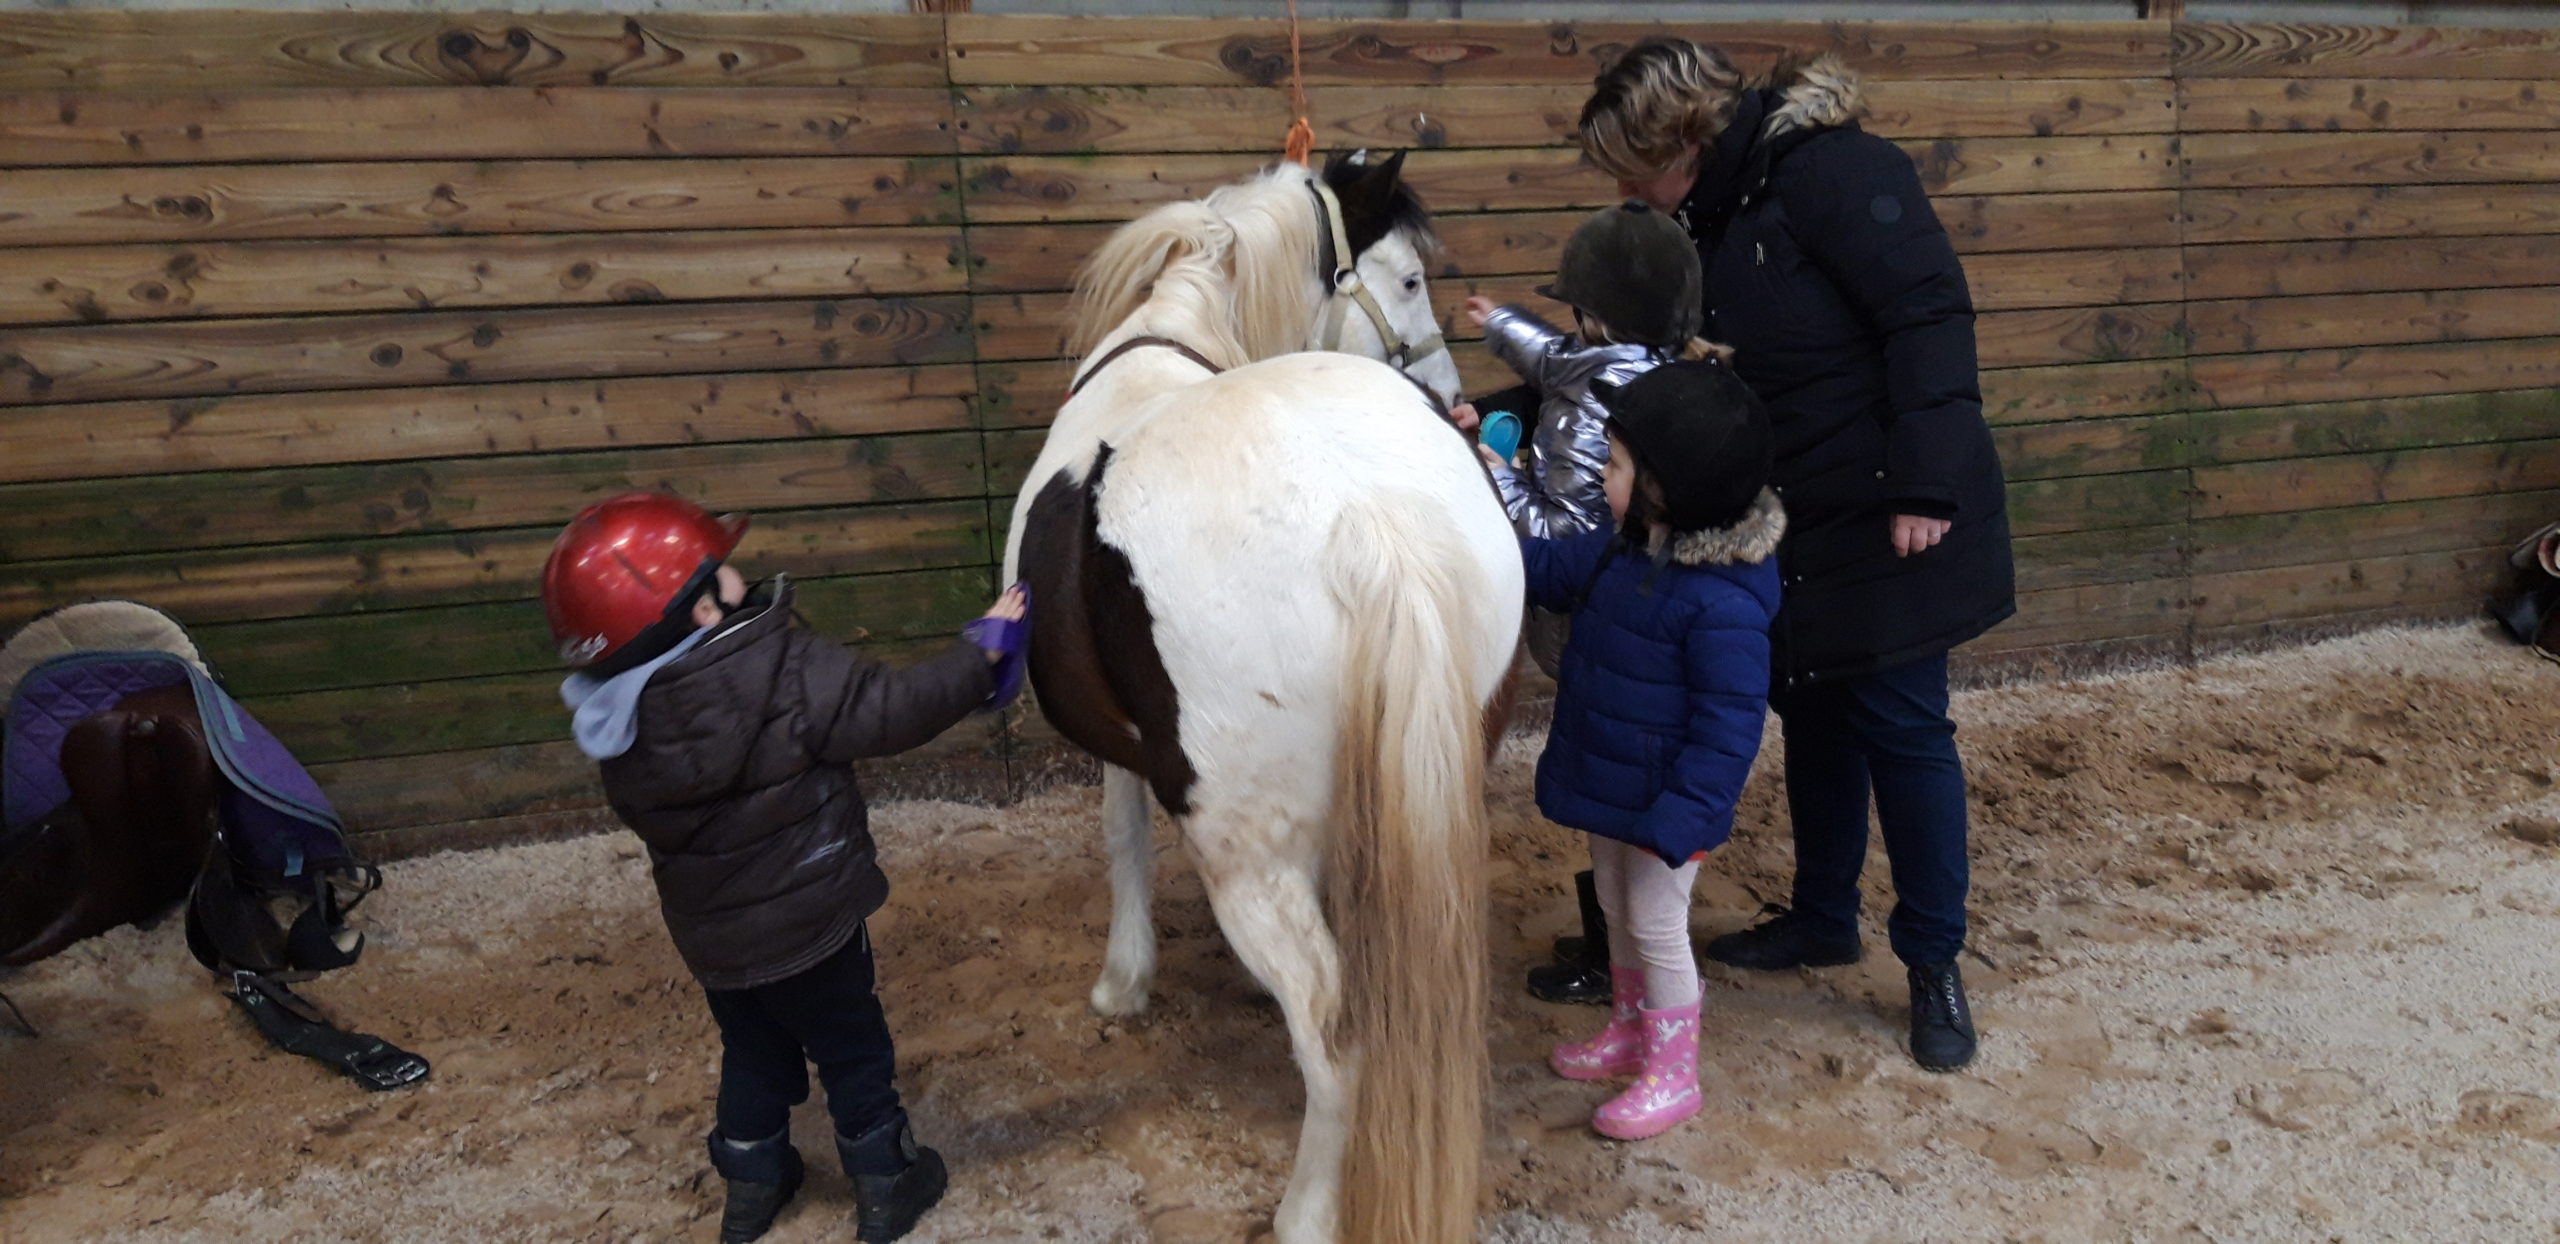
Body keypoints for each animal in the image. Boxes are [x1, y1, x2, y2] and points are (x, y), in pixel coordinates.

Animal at [998, 158, 1515, 1244]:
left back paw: (1307, 1210)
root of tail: (1366, 521)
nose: (1457, 399)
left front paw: (1124, 980)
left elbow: (1121, 836)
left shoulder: (1129, 754)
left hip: (1243, 855)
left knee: (1339, 1040)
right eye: (1410, 278)